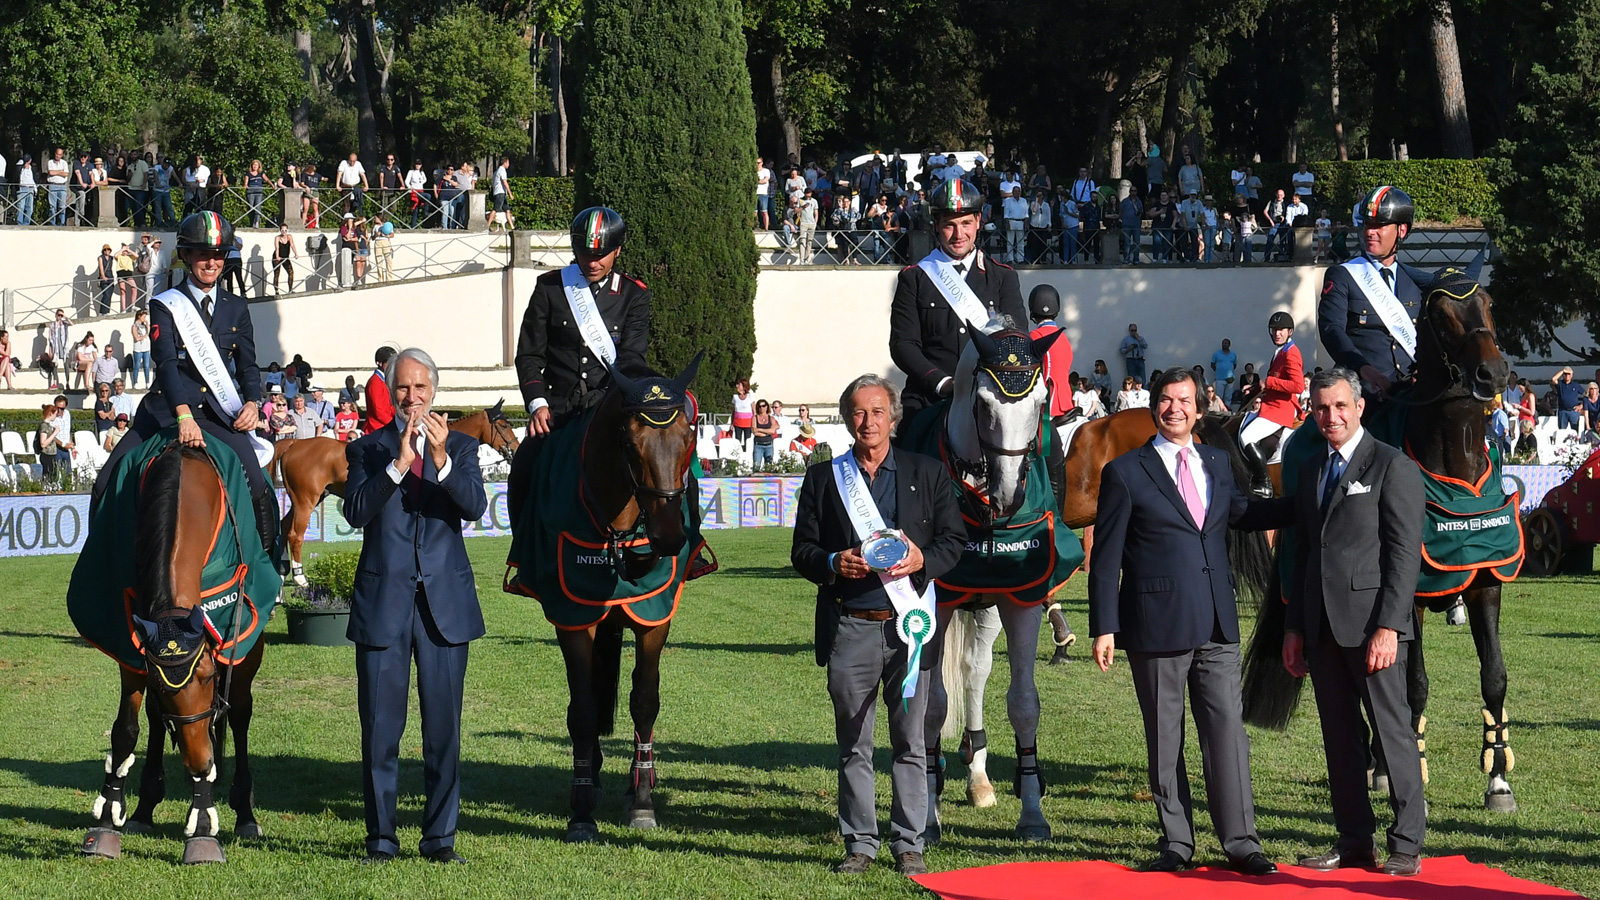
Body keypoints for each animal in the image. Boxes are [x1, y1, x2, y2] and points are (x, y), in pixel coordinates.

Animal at [80, 445, 265, 858]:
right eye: (163, 684)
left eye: (209, 678)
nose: (199, 763)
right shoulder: (130, 640)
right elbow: (125, 730)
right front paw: (107, 819)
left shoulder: (238, 628)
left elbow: (230, 716)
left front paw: (203, 826)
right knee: (154, 719)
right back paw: (144, 806)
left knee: (239, 713)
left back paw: (244, 812)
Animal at [275, 398, 518, 582]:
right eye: (505, 425)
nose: (515, 449)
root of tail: (294, 444)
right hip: (306, 500)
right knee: (295, 535)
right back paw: (300, 579)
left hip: (304, 500)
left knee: (284, 527)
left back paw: (281, 576)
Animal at [1241, 272, 1516, 807]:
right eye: (1441, 314)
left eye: (1490, 303)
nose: (1492, 374)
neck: (1455, 460)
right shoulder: (1406, 598)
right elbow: (1413, 685)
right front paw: (1411, 772)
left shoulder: (1484, 582)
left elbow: (1493, 677)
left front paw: (1498, 779)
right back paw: (1379, 764)